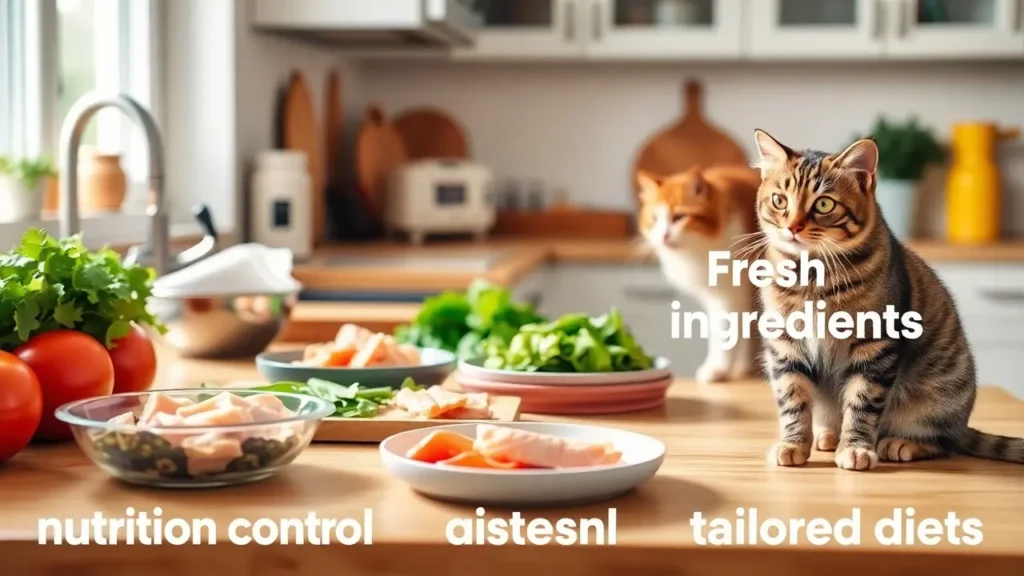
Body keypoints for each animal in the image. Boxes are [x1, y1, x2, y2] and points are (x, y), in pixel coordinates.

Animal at [634, 165, 765, 381]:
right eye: (654, 219)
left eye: (679, 217)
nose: (663, 236)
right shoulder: (718, 297)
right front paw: (735, 367)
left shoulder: (730, 296)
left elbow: (726, 335)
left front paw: (717, 369)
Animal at [753, 129, 1024, 467]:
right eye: (779, 200)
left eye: (824, 204)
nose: (792, 227)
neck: (811, 277)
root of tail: (963, 425)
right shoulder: (785, 345)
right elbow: (793, 401)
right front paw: (793, 444)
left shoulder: (875, 347)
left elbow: (862, 404)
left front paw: (855, 448)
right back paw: (828, 436)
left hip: (937, 400)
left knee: (944, 442)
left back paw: (901, 443)